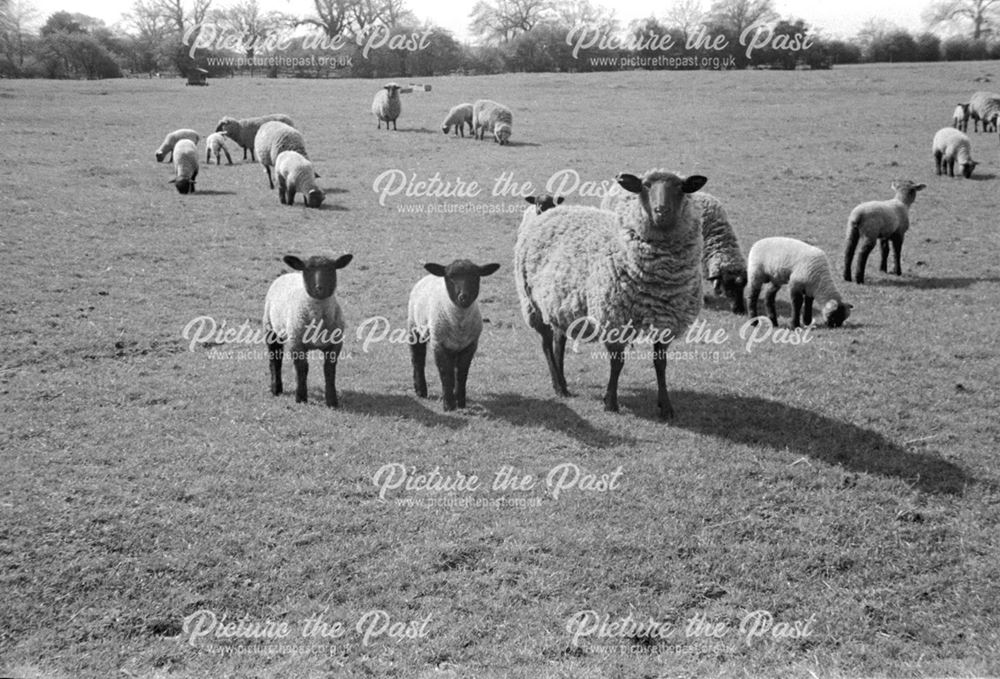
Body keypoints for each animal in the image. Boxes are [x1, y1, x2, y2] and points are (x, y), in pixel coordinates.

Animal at [264, 252, 354, 406]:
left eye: (331, 268)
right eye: (307, 269)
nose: (319, 288)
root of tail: (288, 273)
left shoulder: (335, 344)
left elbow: (329, 370)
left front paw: (332, 400)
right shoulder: (296, 342)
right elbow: (302, 369)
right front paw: (300, 397)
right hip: (271, 328)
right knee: (275, 359)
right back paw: (276, 388)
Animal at [406, 258, 500, 410]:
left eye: (476, 276)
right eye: (450, 277)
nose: (464, 297)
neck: (459, 324)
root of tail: (429, 276)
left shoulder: (470, 346)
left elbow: (461, 374)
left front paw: (460, 402)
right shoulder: (439, 344)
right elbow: (446, 374)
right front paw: (449, 405)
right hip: (414, 326)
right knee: (417, 359)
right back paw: (421, 390)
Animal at [520, 169, 708, 420]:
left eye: (680, 187)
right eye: (645, 186)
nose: (662, 211)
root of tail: (552, 211)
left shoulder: (665, 321)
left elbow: (661, 364)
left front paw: (666, 406)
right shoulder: (614, 318)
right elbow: (617, 363)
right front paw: (610, 402)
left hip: (560, 302)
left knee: (559, 340)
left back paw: (564, 384)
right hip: (533, 303)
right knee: (547, 343)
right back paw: (558, 385)